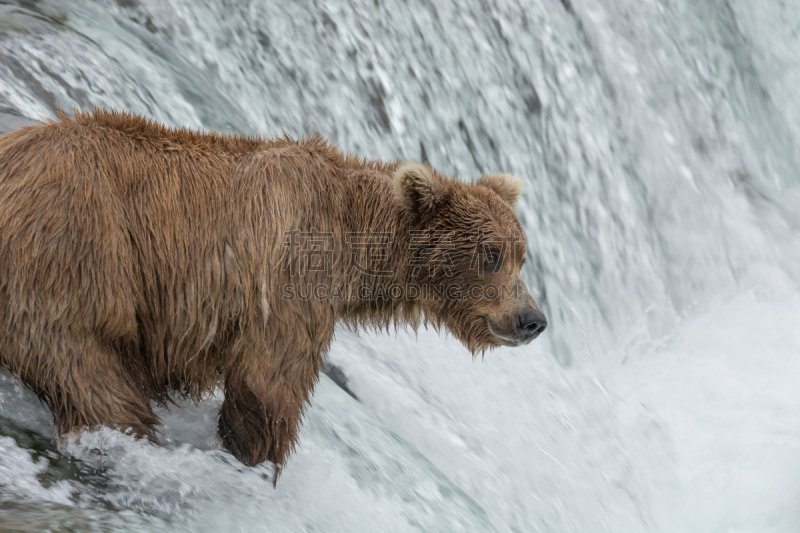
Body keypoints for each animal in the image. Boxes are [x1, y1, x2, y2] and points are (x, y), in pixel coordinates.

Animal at [0, 110, 548, 476]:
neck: (357, 240)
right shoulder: (290, 276)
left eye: (521, 255)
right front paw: (254, 461)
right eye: (491, 254)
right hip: (75, 260)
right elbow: (269, 382)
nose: (533, 319)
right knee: (98, 382)